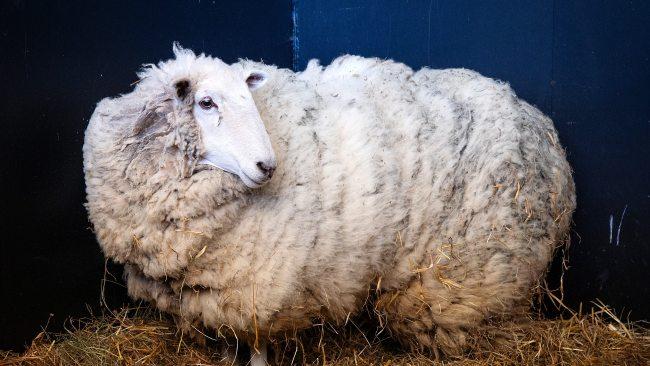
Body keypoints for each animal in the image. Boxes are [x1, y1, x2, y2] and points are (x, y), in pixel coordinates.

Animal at [81, 44, 572, 362]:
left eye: (248, 99)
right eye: (206, 102)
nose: (267, 165)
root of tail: (540, 124)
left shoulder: (264, 285)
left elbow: (257, 345)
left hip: (462, 279)